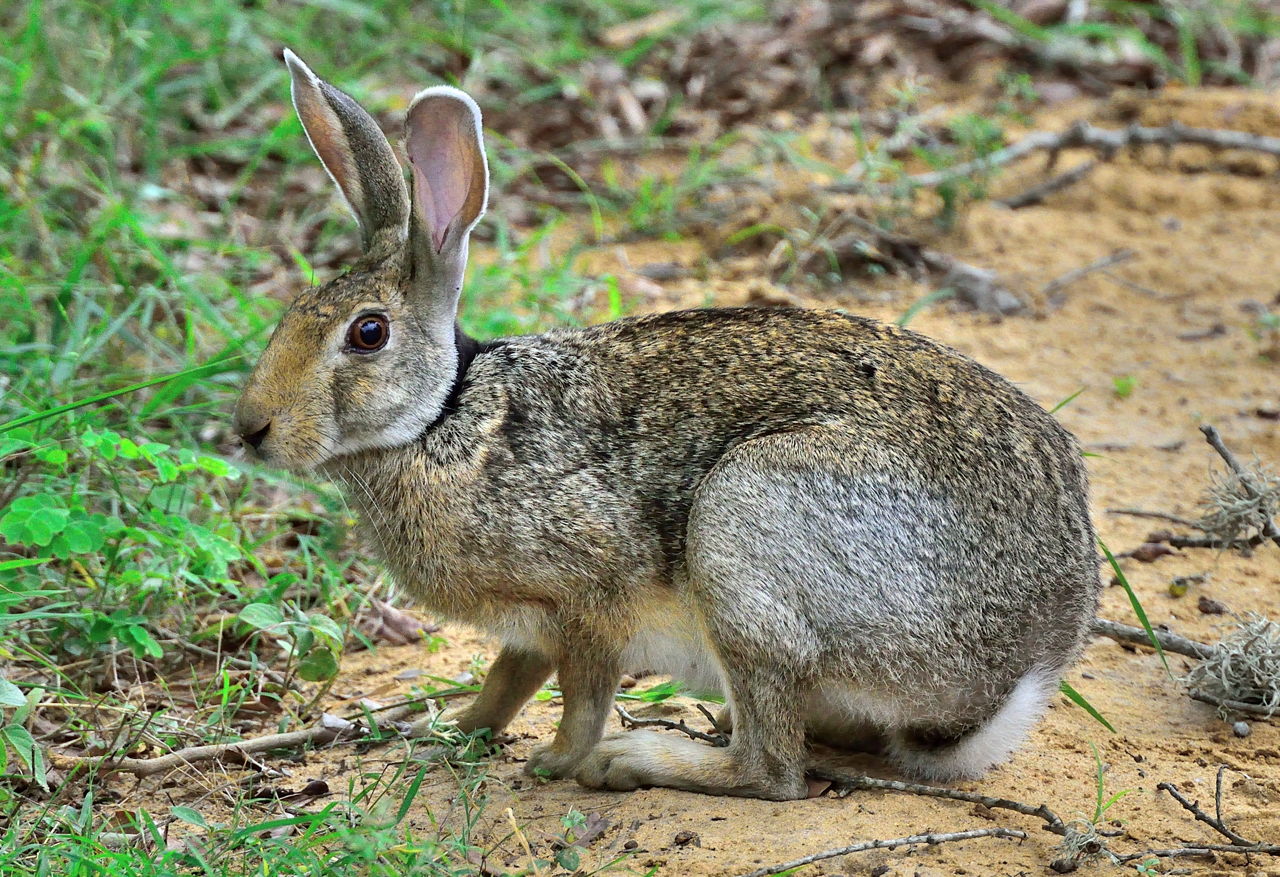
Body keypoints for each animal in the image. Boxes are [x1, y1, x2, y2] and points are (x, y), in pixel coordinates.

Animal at [238, 49, 1100, 798]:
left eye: (367, 333)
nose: (251, 428)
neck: (446, 417)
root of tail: (1004, 681)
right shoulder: (529, 627)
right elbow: (506, 680)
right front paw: (452, 732)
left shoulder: (586, 596)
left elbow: (580, 692)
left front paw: (553, 765)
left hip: (744, 525)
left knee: (773, 769)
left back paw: (637, 759)